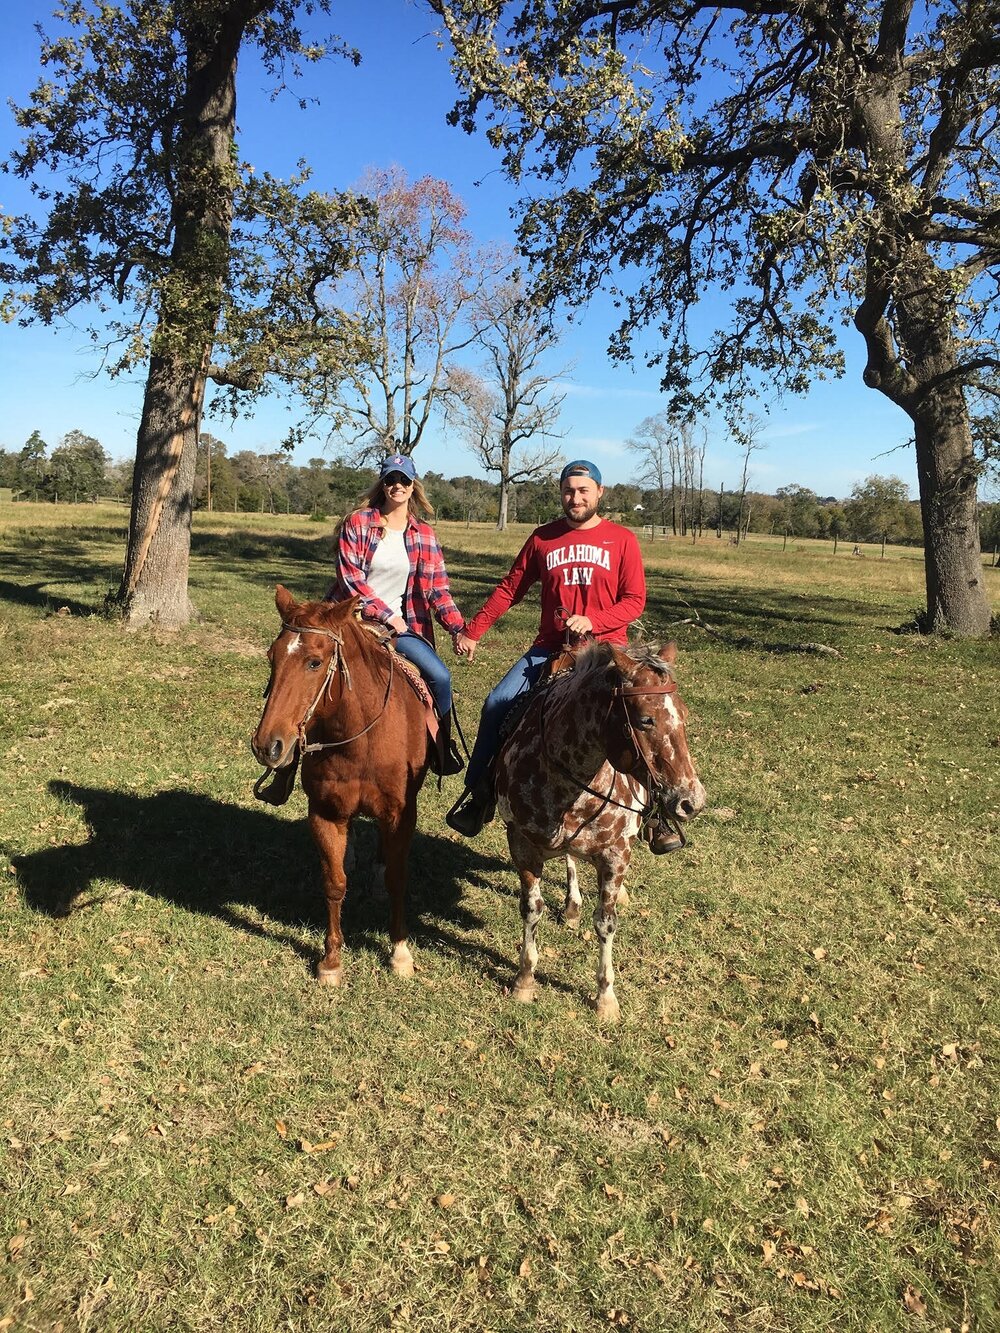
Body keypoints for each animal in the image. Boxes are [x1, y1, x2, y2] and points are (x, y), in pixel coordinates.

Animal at [250, 589, 432, 986]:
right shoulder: (325, 813)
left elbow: (397, 878)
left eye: (315, 663)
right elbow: (334, 882)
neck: (362, 739)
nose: (266, 745)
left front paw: (400, 954)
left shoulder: (401, 813)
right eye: (272, 656)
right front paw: (331, 961)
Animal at [496, 639, 704, 1023]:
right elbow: (532, 908)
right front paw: (524, 980)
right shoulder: (521, 844)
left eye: (683, 715)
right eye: (645, 719)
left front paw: (605, 998)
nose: (691, 802)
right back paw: (572, 905)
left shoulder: (615, 855)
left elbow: (606, 922)